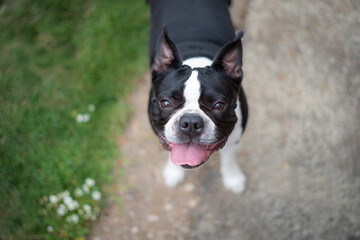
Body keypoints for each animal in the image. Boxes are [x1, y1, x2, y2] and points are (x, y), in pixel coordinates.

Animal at [146, 0, 248, 193]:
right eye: (165, 103)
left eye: (219, 105)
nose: (191, 122)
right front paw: (173, 173)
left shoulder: (236, 135)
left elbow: (229, 156)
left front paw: (232, 178)